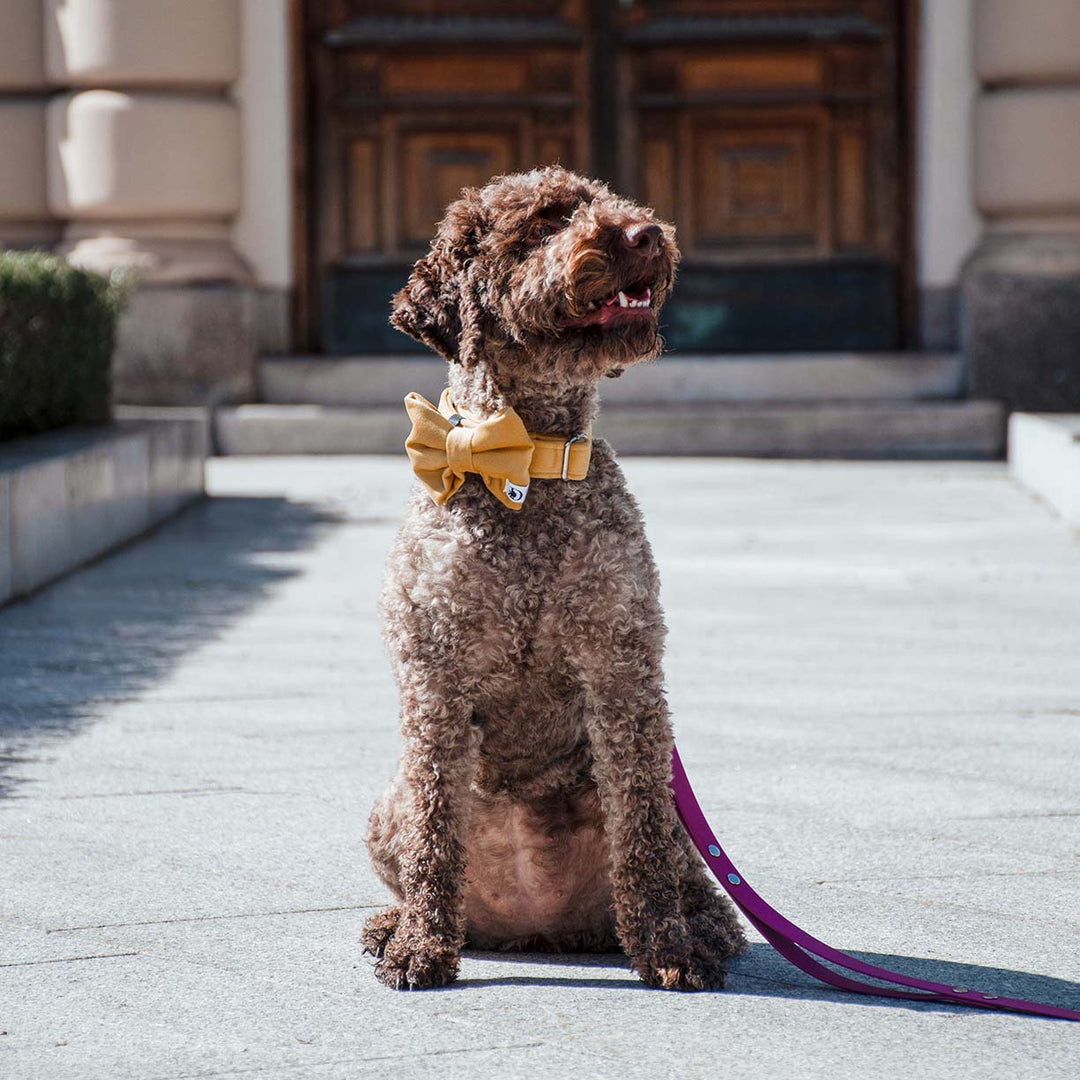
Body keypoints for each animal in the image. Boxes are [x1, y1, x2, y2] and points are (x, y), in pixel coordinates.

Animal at [362, 166, 743, 989]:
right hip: (385, 805)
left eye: (602, 199)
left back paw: (700, 933)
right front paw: (421, 946)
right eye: (540, 225)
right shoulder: (434, 677)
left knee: (689, 876)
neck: (523, 460)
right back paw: (393, 923)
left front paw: (666, 950)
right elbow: (435, 829)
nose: (646, 234)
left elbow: (639, 832)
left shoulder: (624, 669)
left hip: (674, 815)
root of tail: (539, 930)